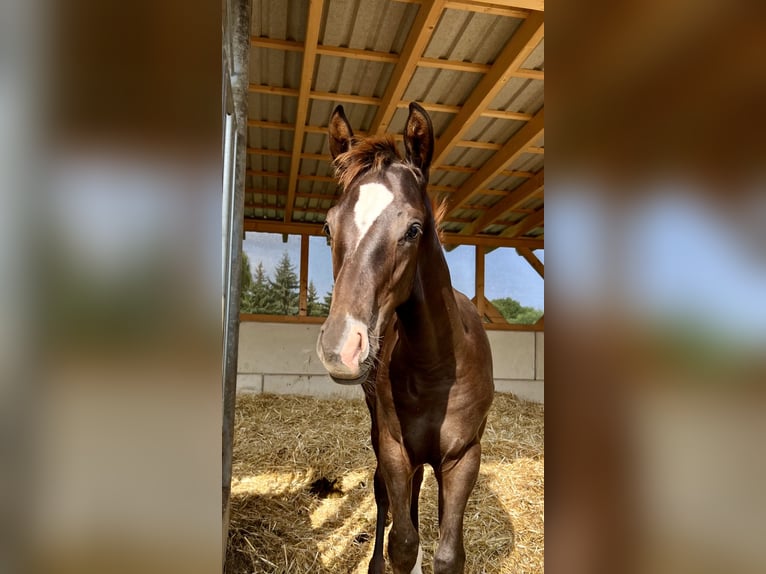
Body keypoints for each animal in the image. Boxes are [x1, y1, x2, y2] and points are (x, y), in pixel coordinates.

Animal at [316, 102, 495, 574]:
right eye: (327, 228)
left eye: (414, 229)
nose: (341, 347)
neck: (436, 368)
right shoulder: (395, 448)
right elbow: (401, 542)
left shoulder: (464, 457)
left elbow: (448, 554)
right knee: (390, 500)